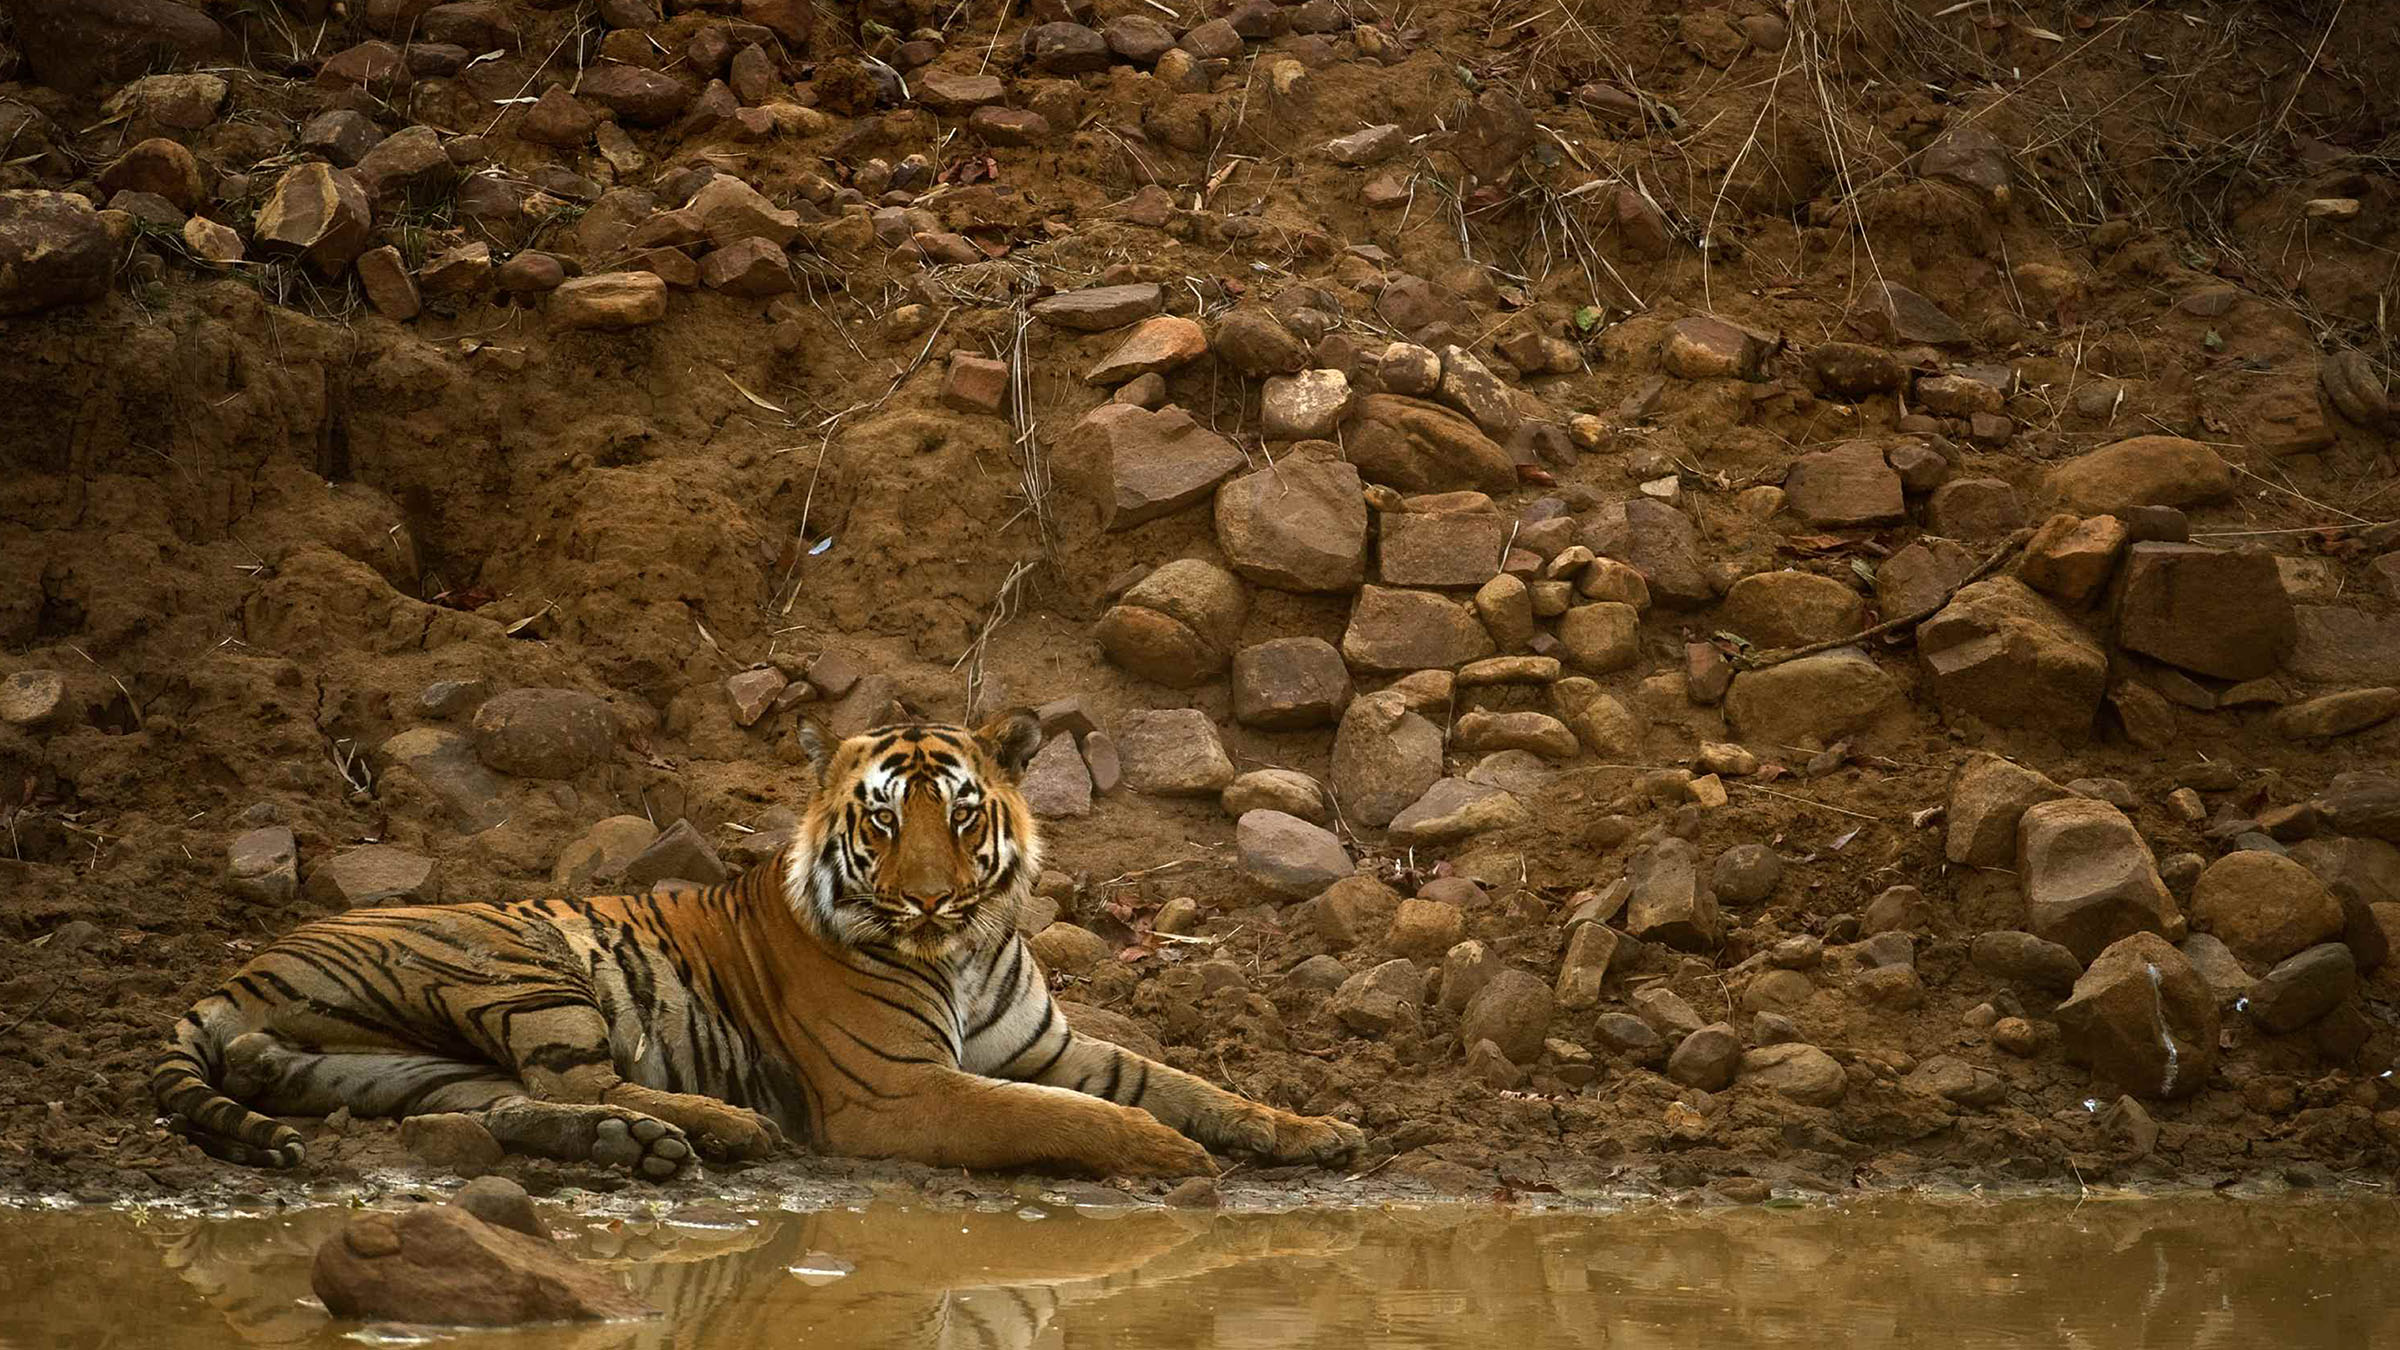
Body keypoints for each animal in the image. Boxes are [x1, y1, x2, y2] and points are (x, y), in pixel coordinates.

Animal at [153, 709, 1364, 1179]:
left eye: (962, 816)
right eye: (885, 822)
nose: (931, 902)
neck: (967, 952)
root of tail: (240, 966)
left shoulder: (1051, 1047)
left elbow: (1189, 1082)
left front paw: (1317, 1132)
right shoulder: (899, 1091)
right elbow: (1068, 1117)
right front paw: (1167, 1156)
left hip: (399, 1063)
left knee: (500, 1108)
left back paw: (642, 1144)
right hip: (520, 969)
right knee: (578, 1079)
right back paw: (717, 1128)